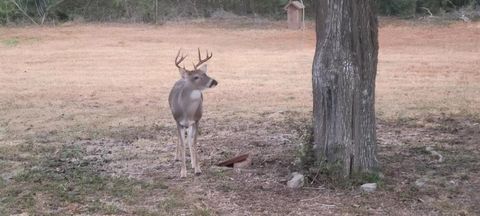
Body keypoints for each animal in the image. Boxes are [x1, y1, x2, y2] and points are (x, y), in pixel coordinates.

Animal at [169, 48, 218, 177]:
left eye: (205, 74)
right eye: (196, 77)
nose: (214, 81)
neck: (187, 111)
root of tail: (181, 78)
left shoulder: (197, 120)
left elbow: (194, 142)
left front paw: (197, 168)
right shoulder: (178, 121)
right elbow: (182, 143)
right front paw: (183, 172)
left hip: (191, 124)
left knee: (190, 139)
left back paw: (192, 162)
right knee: (180, 138)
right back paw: (177, 157)